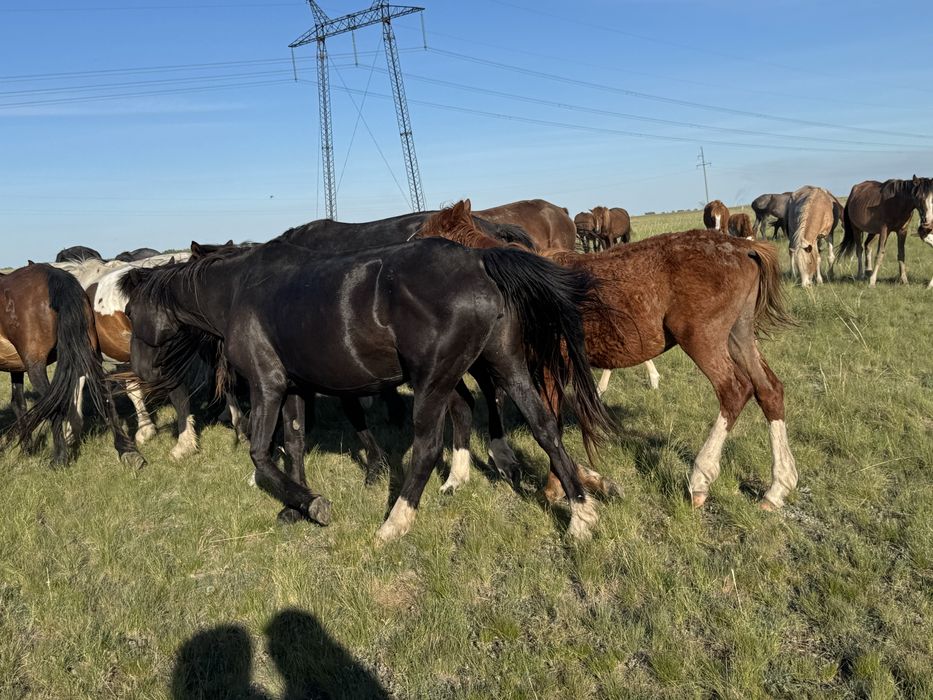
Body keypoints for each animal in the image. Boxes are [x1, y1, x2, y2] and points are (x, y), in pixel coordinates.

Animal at [0, 264, 143, 467]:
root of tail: (54, 276)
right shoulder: (16, 368)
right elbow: (18, 404)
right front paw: (26, 449)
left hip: (36, 366)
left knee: (54, 402)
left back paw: (59, 458)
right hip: (87, 352)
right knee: (104, 394)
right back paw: (127, 451)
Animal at [120, 237, 614, 542]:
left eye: (128, 312)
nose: (138, 372)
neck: (238, 293)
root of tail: (478, 260)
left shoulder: (267, 385)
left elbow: (261, 454)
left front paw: (311, 503)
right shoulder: (294, 388)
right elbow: (293, 445)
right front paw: (294, 507)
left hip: (434, 381)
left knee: (428, 445)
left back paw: (395, 524)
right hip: (501, 365)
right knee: (542, 426)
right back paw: (579, 514)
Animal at [417, 205, 798, 512]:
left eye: (423, 240)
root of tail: (745, 247)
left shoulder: (548, 369)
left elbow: (550, 423)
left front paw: (557, 488)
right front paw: (584, 480)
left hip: (703, 340)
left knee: (734, 390)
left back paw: (700, 478)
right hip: (738, 337)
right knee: (769, 390)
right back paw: (777, 488)